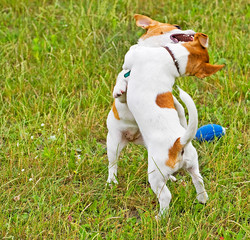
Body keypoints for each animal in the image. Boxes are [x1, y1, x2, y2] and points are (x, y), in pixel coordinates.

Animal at [105, 14, 195, 184]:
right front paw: (119, 88)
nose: (193, 32)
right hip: (114, 143)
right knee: (113, 164)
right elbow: (122, 80)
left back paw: (170, 177)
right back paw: (111, 181)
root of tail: (132, 138)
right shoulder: (125, 89)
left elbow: (176, 104)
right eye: (177, 26)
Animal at [113, 32, 225, 217]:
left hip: (155, 175)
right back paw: (202, 199)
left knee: (165, 196)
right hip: (193, 165)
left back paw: (160, 217)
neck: (174, 60)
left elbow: (128, 62)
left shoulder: (132, 57)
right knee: (199, 180)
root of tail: (179, 143)